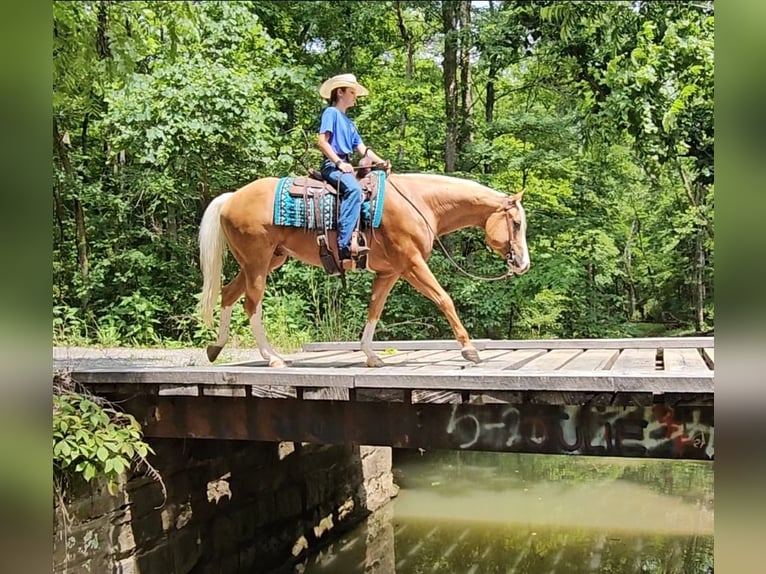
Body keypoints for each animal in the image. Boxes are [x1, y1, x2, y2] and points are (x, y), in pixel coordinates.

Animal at [200, 172, 528, 368]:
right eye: (516, 223)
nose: (523, 264)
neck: (420, 203)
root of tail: (230, 198)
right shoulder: (412, 264)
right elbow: (444, 299)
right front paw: (470, 350)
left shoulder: (390, 272)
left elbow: (375, 309)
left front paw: (371, 356)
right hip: (257, 262)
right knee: (251, 304)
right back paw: (273, 358)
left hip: (266, 261)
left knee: (228, 294)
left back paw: (216, 347)